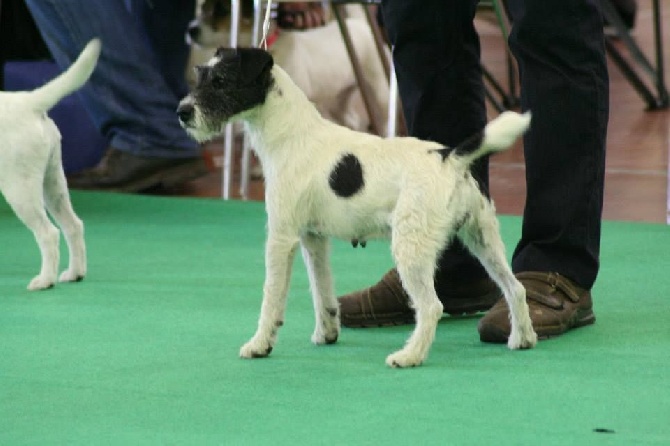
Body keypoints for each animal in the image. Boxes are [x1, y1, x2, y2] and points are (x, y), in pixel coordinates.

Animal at [0, 38, 100, 290]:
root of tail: (27, 101)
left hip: (20, 189)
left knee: (48, 233)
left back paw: (45, 280)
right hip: (52, 184)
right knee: (73, 225)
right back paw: (74, 273)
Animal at [178, 48, 540, 366]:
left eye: (221, 81)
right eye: (200, 75)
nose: (182, 112)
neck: (291, 134)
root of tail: (450, 157)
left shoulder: (281, 237)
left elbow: (272, 295)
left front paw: (259, 344)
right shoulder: (313, 239)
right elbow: (321, 290)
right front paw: (326, 333)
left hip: (411, 247)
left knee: (432, 306)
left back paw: (409, 356)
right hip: (483, 238)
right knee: (515, 287)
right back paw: (522, 338)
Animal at [188, 0, 388, 132]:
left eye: (222, 10)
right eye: (202, 7)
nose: (191, 30)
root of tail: (359, 23)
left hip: (379, 88)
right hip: (339, 99)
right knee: (351, 119)